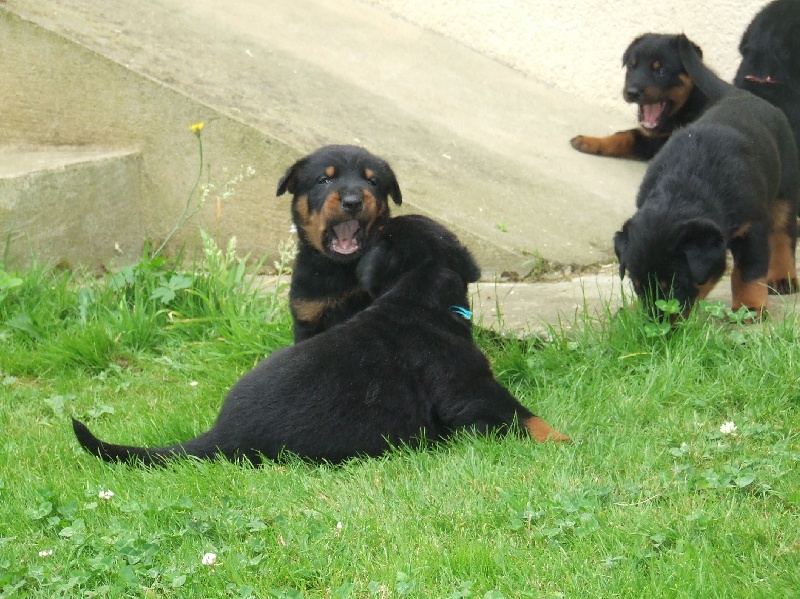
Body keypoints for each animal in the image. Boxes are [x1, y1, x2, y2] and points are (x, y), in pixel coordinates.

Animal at [568, 33, 708, 161]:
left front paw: (591, 141)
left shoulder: (659, 142)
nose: (631, 92)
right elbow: (626, 134)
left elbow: (629, 137)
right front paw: (589, 141)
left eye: (660, 71)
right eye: (632, 67)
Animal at [616, 36, 796, 318]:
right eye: (637, 285)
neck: (686, 186)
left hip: (785, 191)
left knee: (784, 233)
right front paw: (634, 309)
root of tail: (739, 94)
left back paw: (783, 277)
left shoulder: (753, 228)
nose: (657, 323)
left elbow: (748, 272)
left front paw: (750, 308)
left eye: (674, 284)